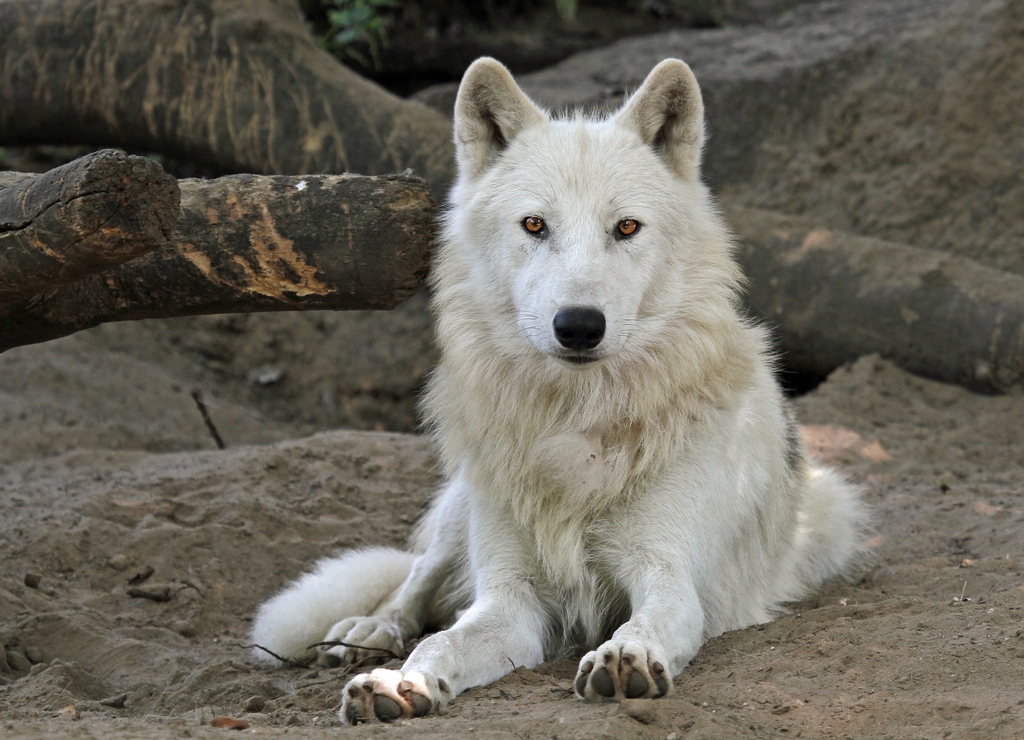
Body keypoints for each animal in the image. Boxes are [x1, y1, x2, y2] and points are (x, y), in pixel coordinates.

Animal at [251, 57, 867, 724]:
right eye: (534, 224)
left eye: (626, 227)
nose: (578, 325)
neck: (577, 425)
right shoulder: (509, 602)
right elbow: (442, 642)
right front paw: (400, 683)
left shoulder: (669, 578)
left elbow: (643, 624)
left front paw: (625, 660)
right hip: (463, 506)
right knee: (415, 582)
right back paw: (369, 633)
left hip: (833, 512)